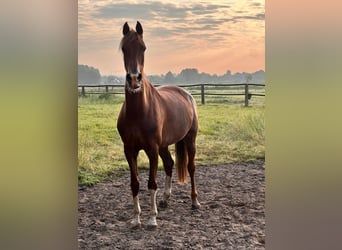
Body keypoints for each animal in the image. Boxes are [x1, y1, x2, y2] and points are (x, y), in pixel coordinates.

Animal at [117, 22, 199, 229]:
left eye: (143, 48)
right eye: (124, 48)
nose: (134, 79)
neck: (139, 111)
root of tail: (187, 95)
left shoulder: (152, 149)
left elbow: (151, 182)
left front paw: (152, 219)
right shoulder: (129, 150)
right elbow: (135, 183)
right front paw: (136, 218)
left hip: (190, 140)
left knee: (191, 167)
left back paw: (195, 201)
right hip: (164, 145)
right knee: (170, 164)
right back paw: (165, 199)